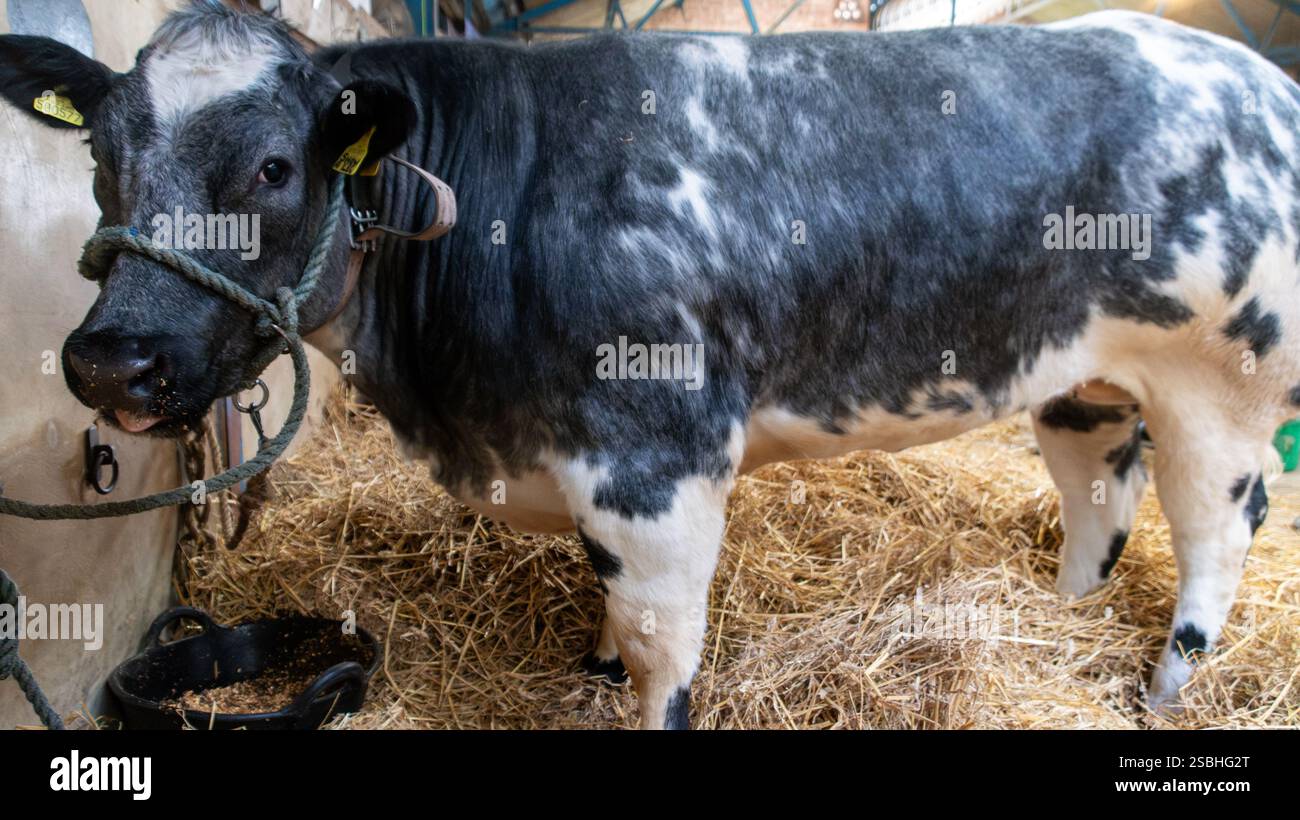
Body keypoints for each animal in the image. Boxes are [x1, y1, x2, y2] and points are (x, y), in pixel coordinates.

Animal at [2, 4, 1297, 729]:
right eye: (101, 154)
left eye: (274, 167)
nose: (111, 360)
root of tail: (1254, 76)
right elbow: (609, 612)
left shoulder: (655, 461)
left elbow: (659, 647)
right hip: (1081, 377)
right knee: (1098, 492)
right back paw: (1057, 623)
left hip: (1221, 385)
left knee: (1218, 534)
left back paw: (1163, 691)